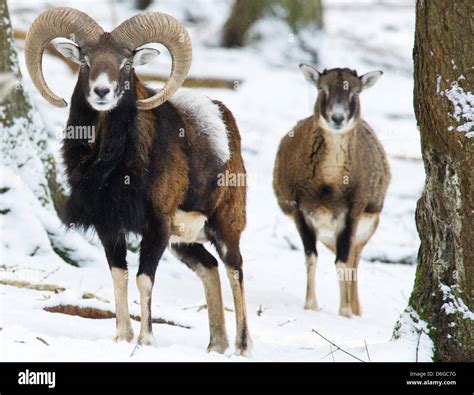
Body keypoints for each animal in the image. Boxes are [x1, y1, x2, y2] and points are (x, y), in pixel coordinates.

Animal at [25, 8, 252, 356]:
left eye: (126, 64)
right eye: (85, 60)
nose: (102, 92)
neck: (112, 166)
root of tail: (225, 122)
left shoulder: (156, 226)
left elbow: (145, 279)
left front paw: (146, 340)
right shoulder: (109, 226)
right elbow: (119, 275)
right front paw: (122, 337)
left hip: (225, 226)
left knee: (234, 269)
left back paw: (241, 347)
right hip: (183, 242)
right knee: (210, 267)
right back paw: (215, 345)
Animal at [272, 65, 390, 318]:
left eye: (356, 92)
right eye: (321, 89)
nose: (337, 117)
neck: (328, 186)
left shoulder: (352, 213)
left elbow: (343, 263)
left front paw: (345, 312)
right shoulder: (300, 212)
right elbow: (311, 257)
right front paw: (310, 305)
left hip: (367, 226)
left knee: (354, 257)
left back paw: (356, 309)